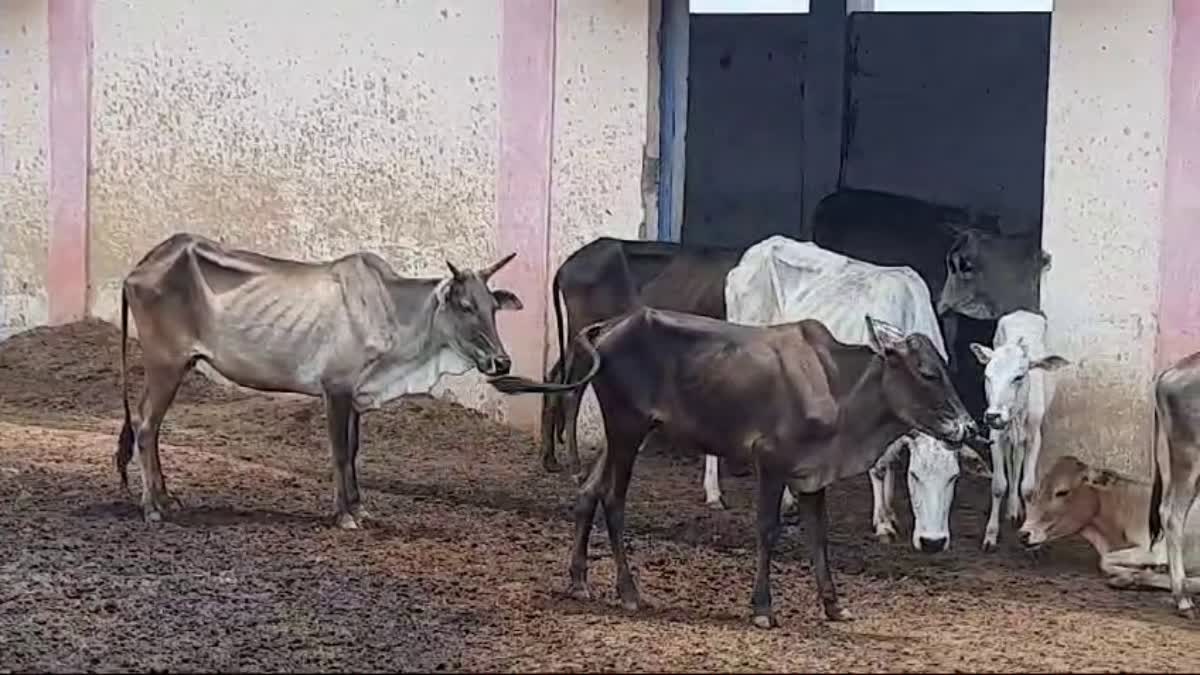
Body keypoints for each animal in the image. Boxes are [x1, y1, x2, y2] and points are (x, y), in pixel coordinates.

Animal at [114, 233, 523, 528]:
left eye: (493, 307)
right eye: (465, 306)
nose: (502, 361)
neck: (392, 311)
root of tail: (138, 269)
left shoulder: (356, 394)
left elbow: (354, 450)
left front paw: (359, 508)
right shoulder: (335, 389)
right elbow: (340, 452)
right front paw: (344, 515)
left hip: (173, 367)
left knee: (147, 425)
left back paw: (166, 498)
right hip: (165, 364)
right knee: (146, 426)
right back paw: (153, 507)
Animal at [487, 307, 980, 628]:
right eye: (927, 373)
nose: (968, 425)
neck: (840, 389)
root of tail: (608, 325)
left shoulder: (811, 475)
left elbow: (819, 538)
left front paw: (833, 605)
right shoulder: (772, 462)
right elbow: (768, 531)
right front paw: (762, 608)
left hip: (623, 432)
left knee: (588, 491)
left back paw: (579, 581)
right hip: (626, 427)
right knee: (613, 499)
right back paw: (628, 592)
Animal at [540, 236, 743, 481]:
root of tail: (567, 265)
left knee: (555, 378)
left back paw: (549, 459)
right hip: (584, 335)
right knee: (572, 392)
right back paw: (576, 467)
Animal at [704, 236, 990, 553]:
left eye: (954, 478)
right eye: (915, 476)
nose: (933, 542)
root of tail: (759, 249)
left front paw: (890, 513)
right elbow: (879, 464)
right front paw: (883, 523)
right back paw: (714, 494)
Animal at [969, 310, 1070, 551]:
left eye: (1018, 376)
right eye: (987, 376)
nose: (993, 415)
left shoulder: (1034, 435)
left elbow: (1029, 487)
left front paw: (1032, 533)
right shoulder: (996, 435)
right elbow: (998, 484)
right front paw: (990, 535)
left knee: (1018, 461)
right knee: (1012, 461)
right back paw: (1012, 508)